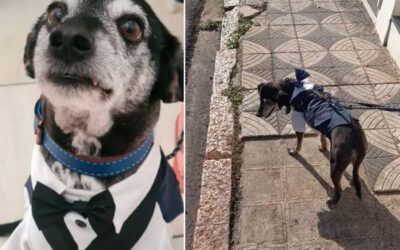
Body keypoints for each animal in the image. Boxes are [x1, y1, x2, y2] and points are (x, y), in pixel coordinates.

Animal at [258, 69, 368, 208]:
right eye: (260, 98)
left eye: (268, 101)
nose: (257, 114)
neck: (294, 89)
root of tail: (357, 142)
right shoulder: (317, 123)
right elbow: (321, 135)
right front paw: (323, 147)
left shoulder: (299, 123)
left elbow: (298, 142)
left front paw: (294, 151)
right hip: (354, 162)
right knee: (355, 173)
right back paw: (353, 181)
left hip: (334, 166)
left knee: (338, 190)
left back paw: (332, 201)